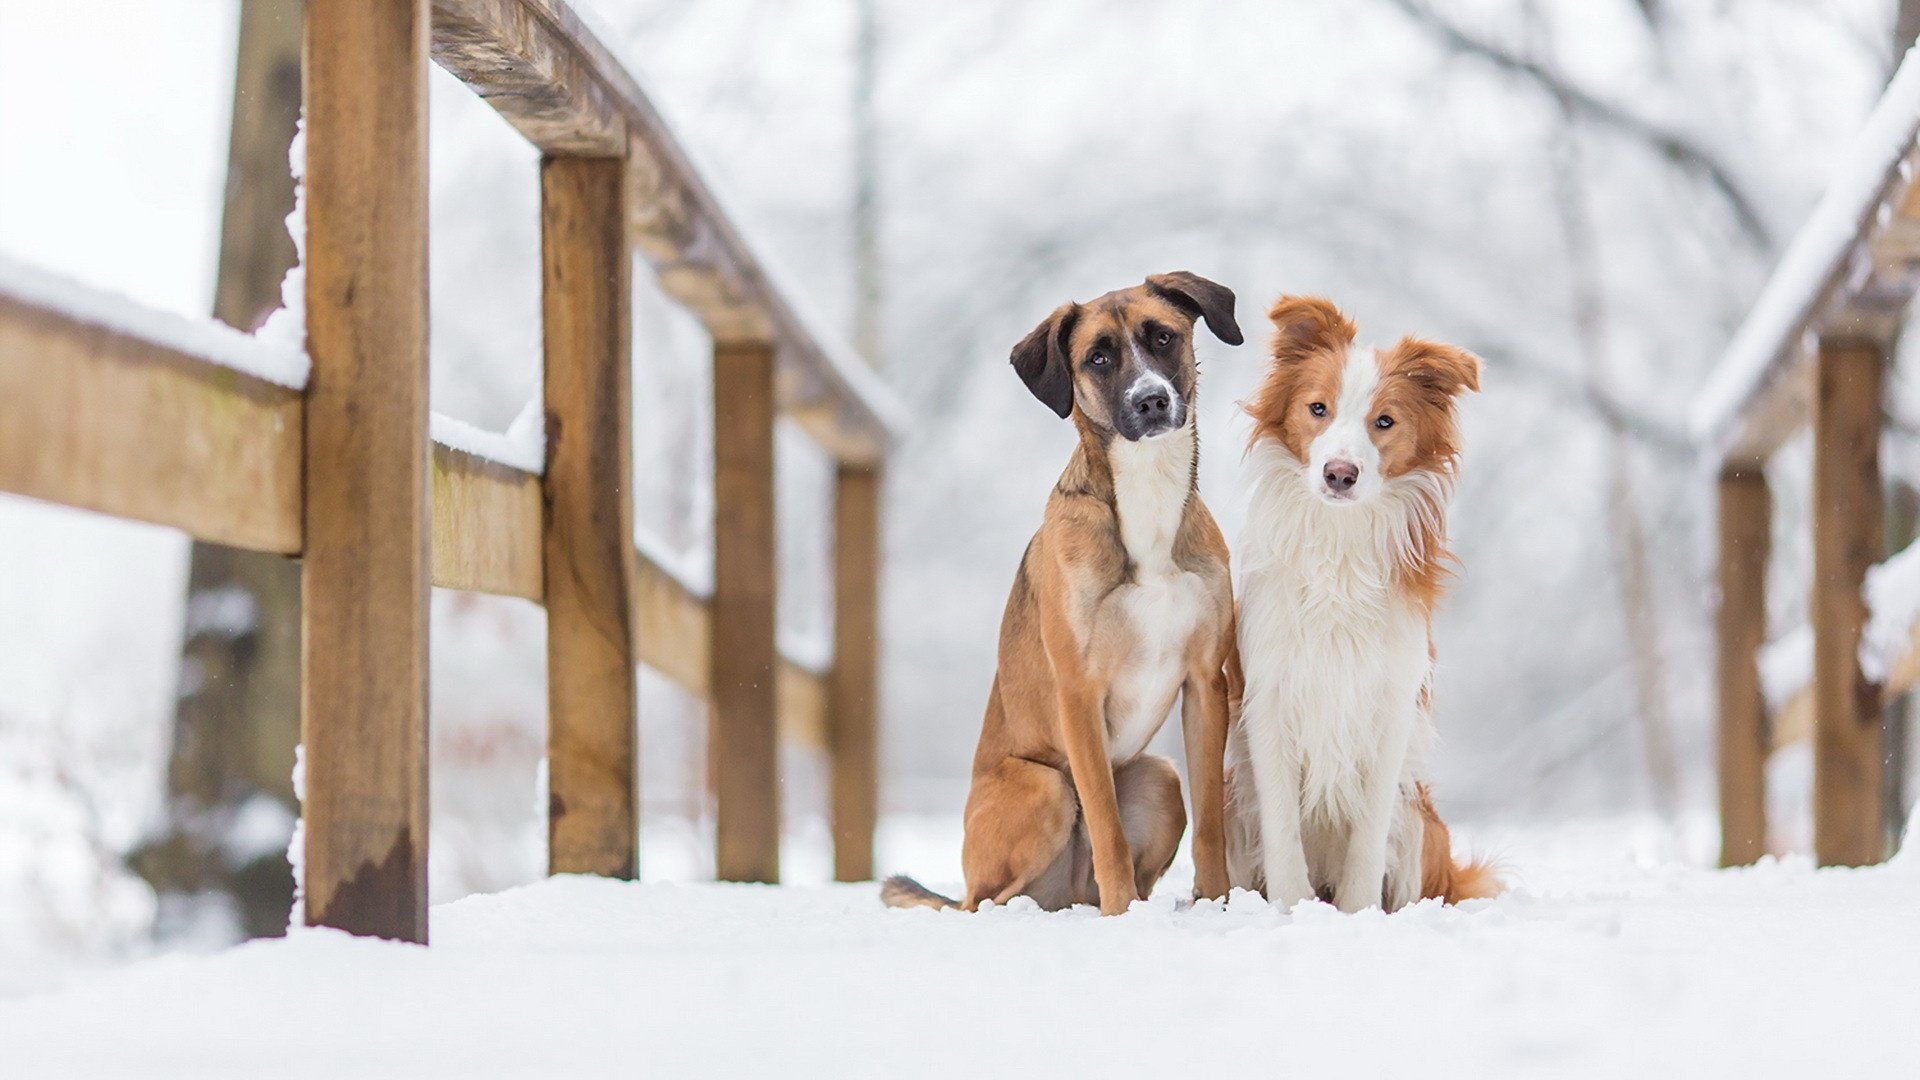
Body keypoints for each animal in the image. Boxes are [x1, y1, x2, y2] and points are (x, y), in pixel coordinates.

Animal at [883, 272, 1244, 910]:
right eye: (1097, 358)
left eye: (1163, 336)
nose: (1151, 400)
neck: (1146, 494)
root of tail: (1065, 896)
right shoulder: (1079, 692)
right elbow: (1105, 827)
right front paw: (1124, 914)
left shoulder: (1205, 683)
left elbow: (1210, 826)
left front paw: (1217, 906)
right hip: (1044, 786)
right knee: (985, 902)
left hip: (1158, 776)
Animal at [1228, 294, 1497, 907]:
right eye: (1317, 408)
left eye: (1385, 422)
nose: (1339, 474)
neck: (1339, 543)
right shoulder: (1269, 696)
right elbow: (1281, 823)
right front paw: (1290, 906)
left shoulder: (1391, 702)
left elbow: (1369, 832)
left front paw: (1357, 911)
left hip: (1422, 822)